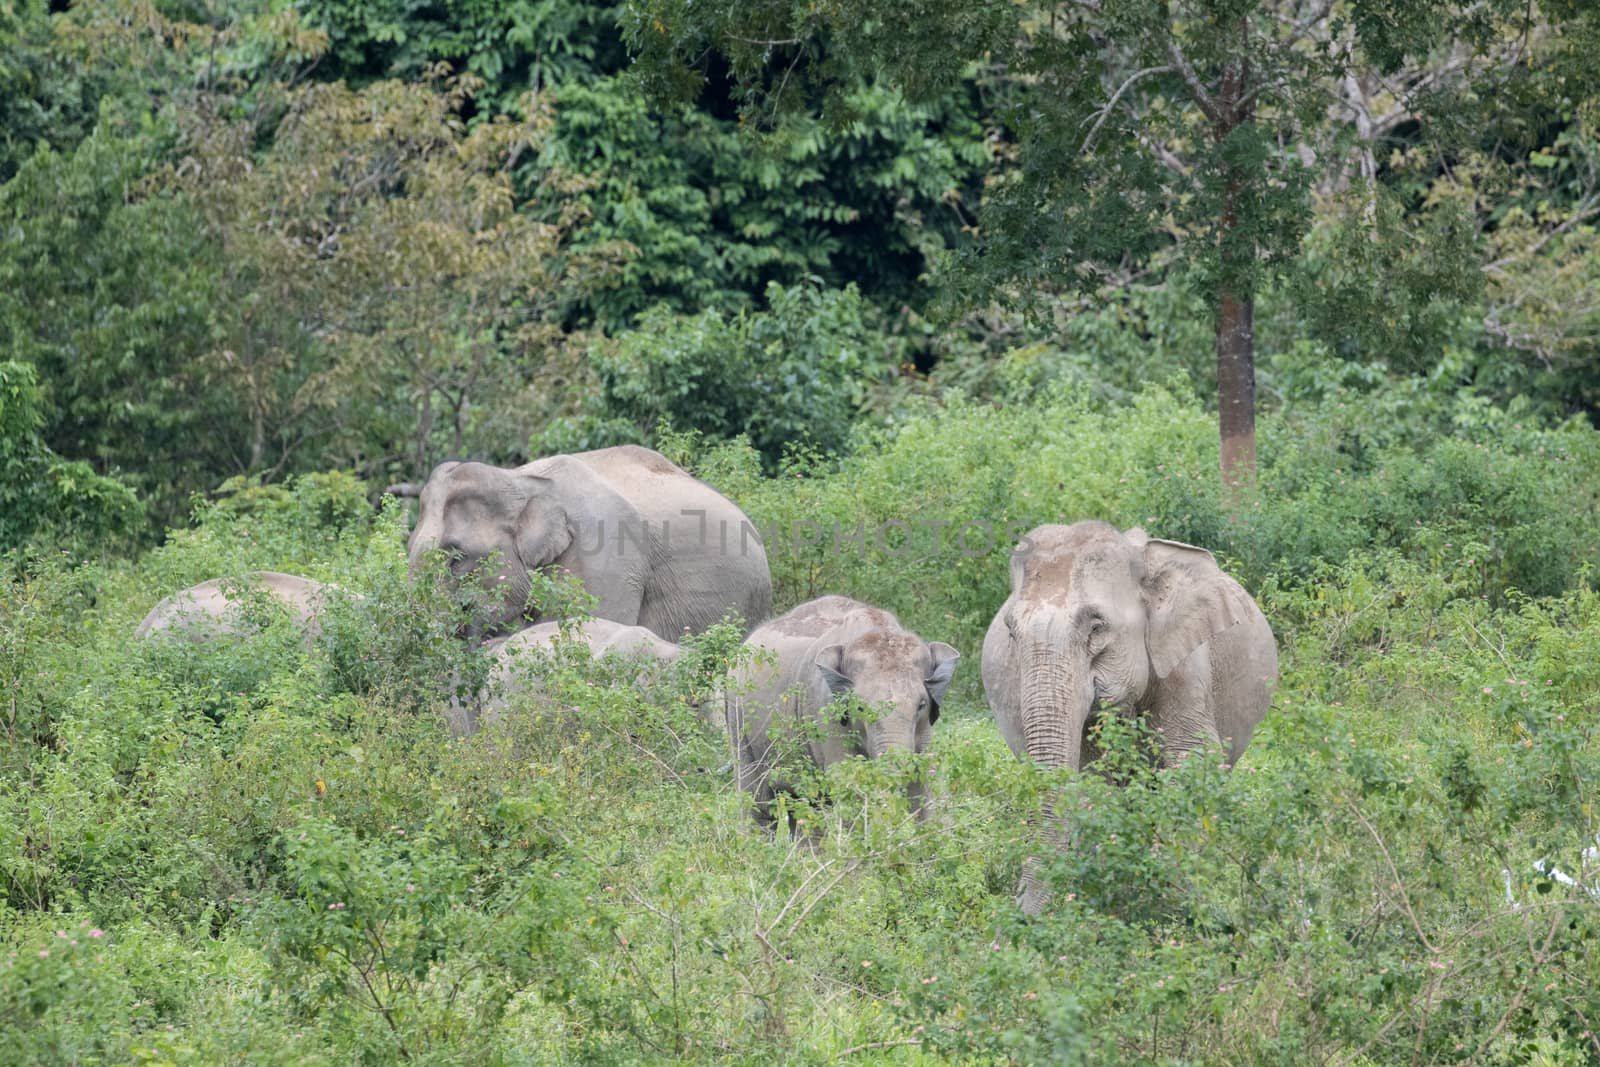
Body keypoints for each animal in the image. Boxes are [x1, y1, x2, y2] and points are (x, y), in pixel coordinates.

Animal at [729, 598, 960, 831]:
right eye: (860, 708)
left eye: (922, 705)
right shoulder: (826, 711)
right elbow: (847, 780)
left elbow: (925, 781)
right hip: (737, 719)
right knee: (759, 804)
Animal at [979, 521, 1280, 915]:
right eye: (1011, 632)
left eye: (1096, 627)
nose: (1020, 911)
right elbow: (1094, 780)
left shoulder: (1183, 661)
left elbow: (1192, 760)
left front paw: (1169, 900)